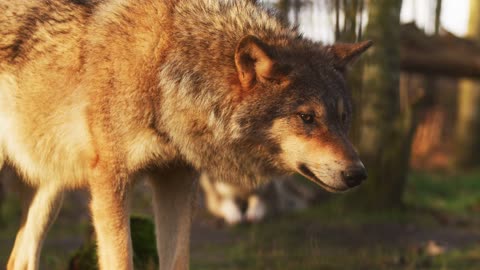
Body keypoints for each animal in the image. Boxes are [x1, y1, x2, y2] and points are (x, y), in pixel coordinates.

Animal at [0, 0, 370, 268]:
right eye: (307, 117)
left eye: (343, 119)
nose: (358, 174)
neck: (164, 68)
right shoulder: (110, 182)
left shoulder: (176, 180)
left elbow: (177, 260)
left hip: (50, 190)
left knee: (19, 259)